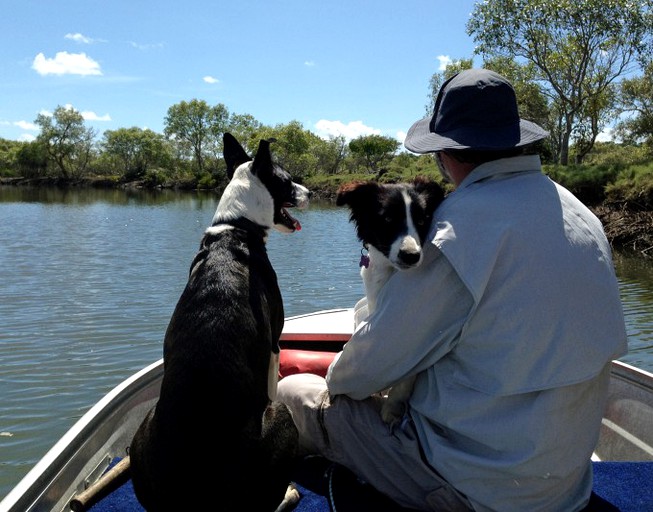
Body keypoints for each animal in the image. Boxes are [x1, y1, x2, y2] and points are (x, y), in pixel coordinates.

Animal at [130, 133, 310, 512]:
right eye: (288, 181)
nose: (311, 192)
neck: (237, 227)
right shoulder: (274, 346)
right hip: (281, 415)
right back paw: (288, 492)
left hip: (143, 431)